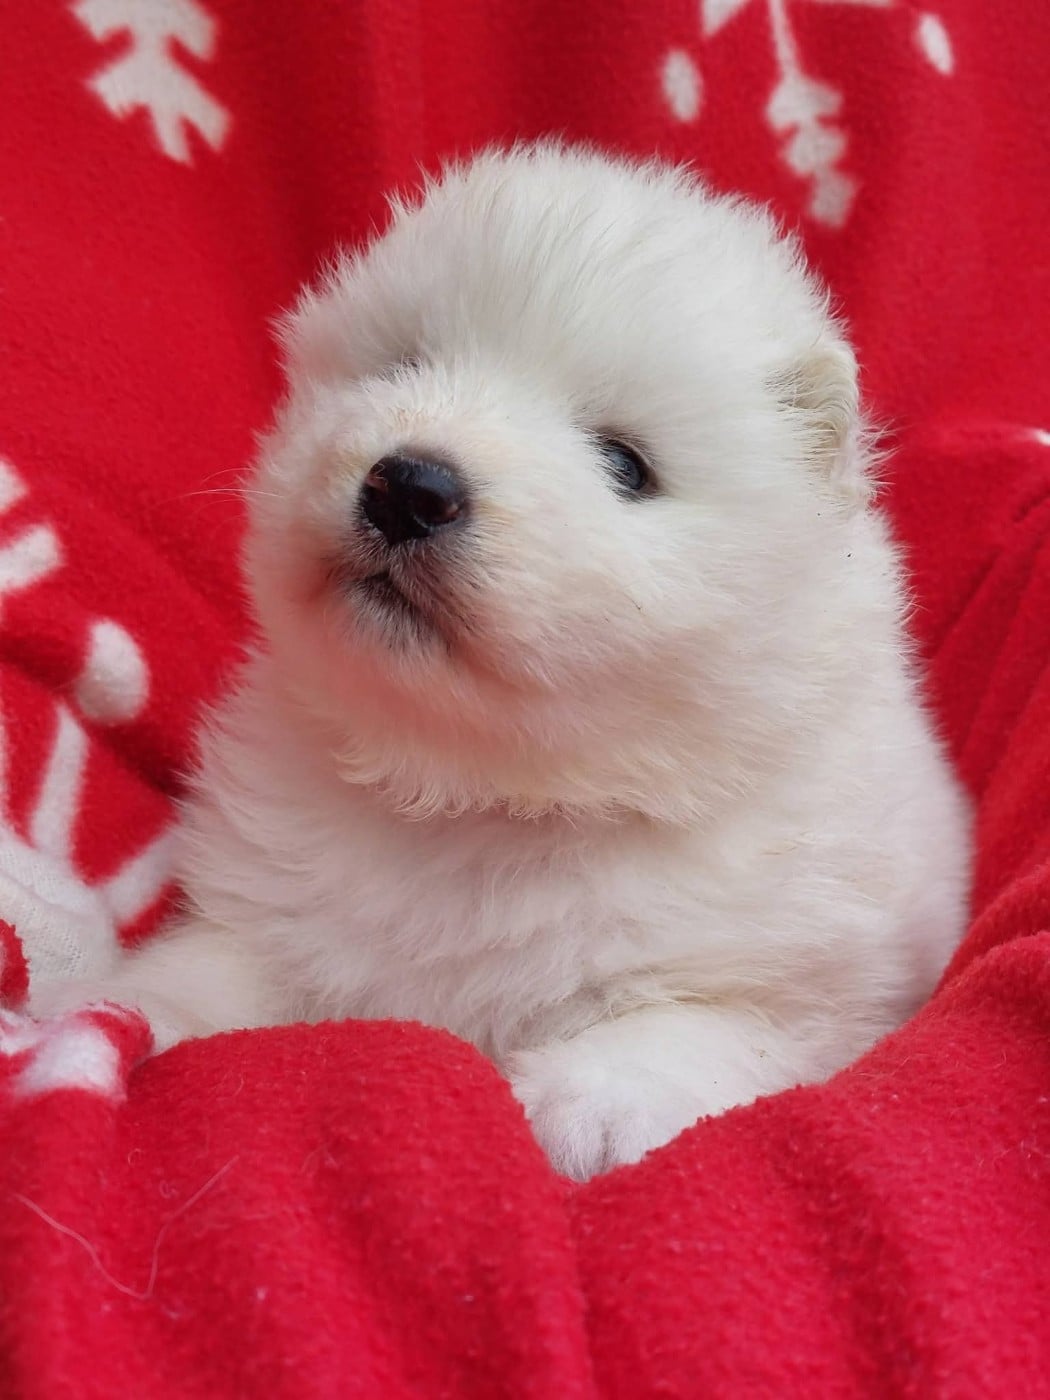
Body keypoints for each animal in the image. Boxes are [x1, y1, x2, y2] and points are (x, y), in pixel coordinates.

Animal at [31, 145, 971, 1180]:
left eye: (624, 463)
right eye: (405, 364)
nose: (408, 486)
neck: (481, 804)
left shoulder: (821, 982)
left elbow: (714, 1025)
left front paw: (590, 1101)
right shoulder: (273, 900)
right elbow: (215, 970)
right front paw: (116, 1012)